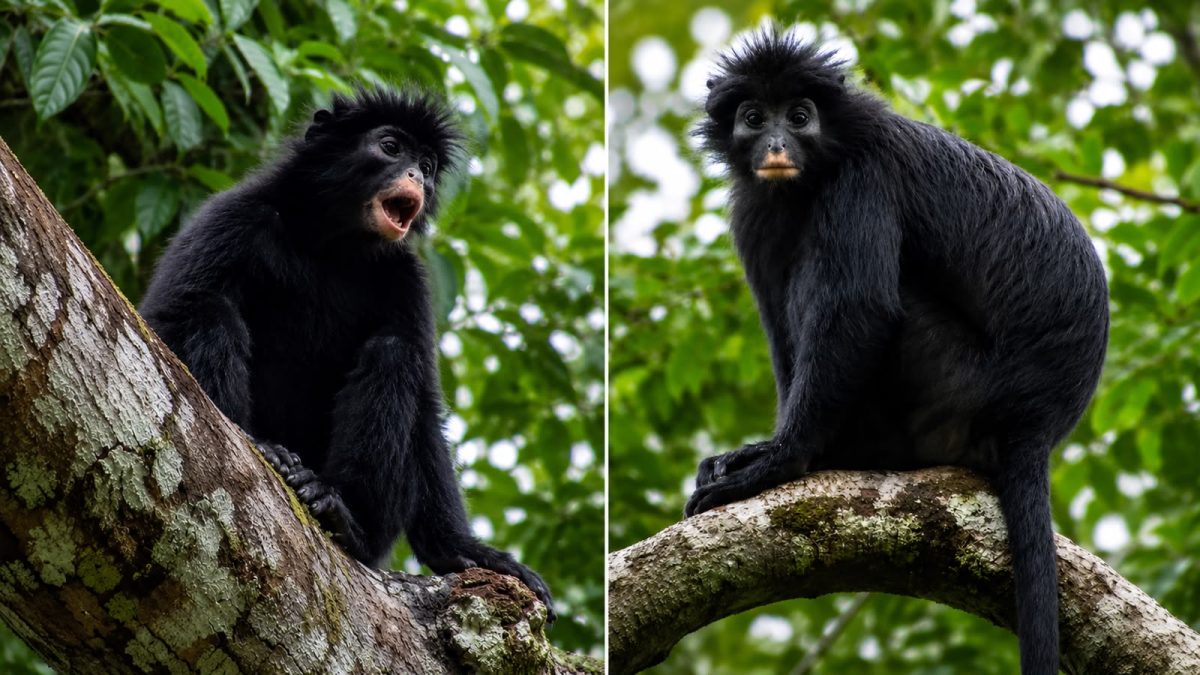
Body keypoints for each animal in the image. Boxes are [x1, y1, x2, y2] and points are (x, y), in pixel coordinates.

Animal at [139, 87, 554, 620]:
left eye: (427, 165)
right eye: (391, 147)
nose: (417, 177)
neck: (330, 247)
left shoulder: (405, 276)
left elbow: (426, 407)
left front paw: (465, 551)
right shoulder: (231, 216)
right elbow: (164, 317)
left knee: (394, 353)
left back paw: (345, 518)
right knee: (209, 308)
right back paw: (265, 448)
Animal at [685, 30, 1108, 674]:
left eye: (800, 117)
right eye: (754, 118)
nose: (777, 143)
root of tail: (1035, 423)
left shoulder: (863, 179)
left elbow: (861, 307)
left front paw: (781, 459)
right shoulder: (754, 214)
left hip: (950, 381)